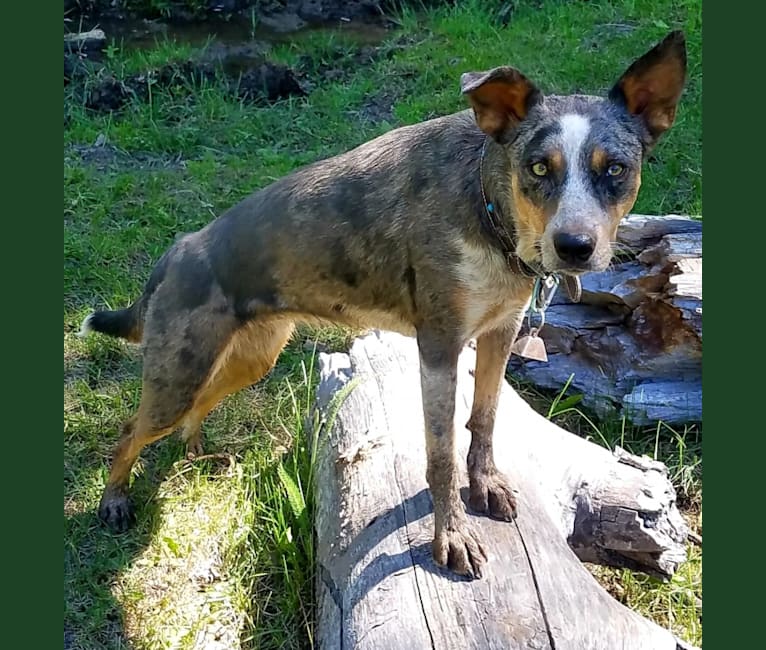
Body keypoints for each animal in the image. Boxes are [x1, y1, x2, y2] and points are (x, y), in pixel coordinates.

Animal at [79, 30, 688, 576]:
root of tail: (178, 249)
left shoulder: (499, 333)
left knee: (193, 412)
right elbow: (440, 457)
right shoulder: (439, 347)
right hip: (178, 374)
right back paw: (114, 500)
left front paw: (485, 486)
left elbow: (485, 421)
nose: (575, 247)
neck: (487, 207)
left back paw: (198, 451)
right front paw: (451, 538)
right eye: (539, 168)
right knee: (129, 431)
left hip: (250, 358)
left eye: (615, 169)